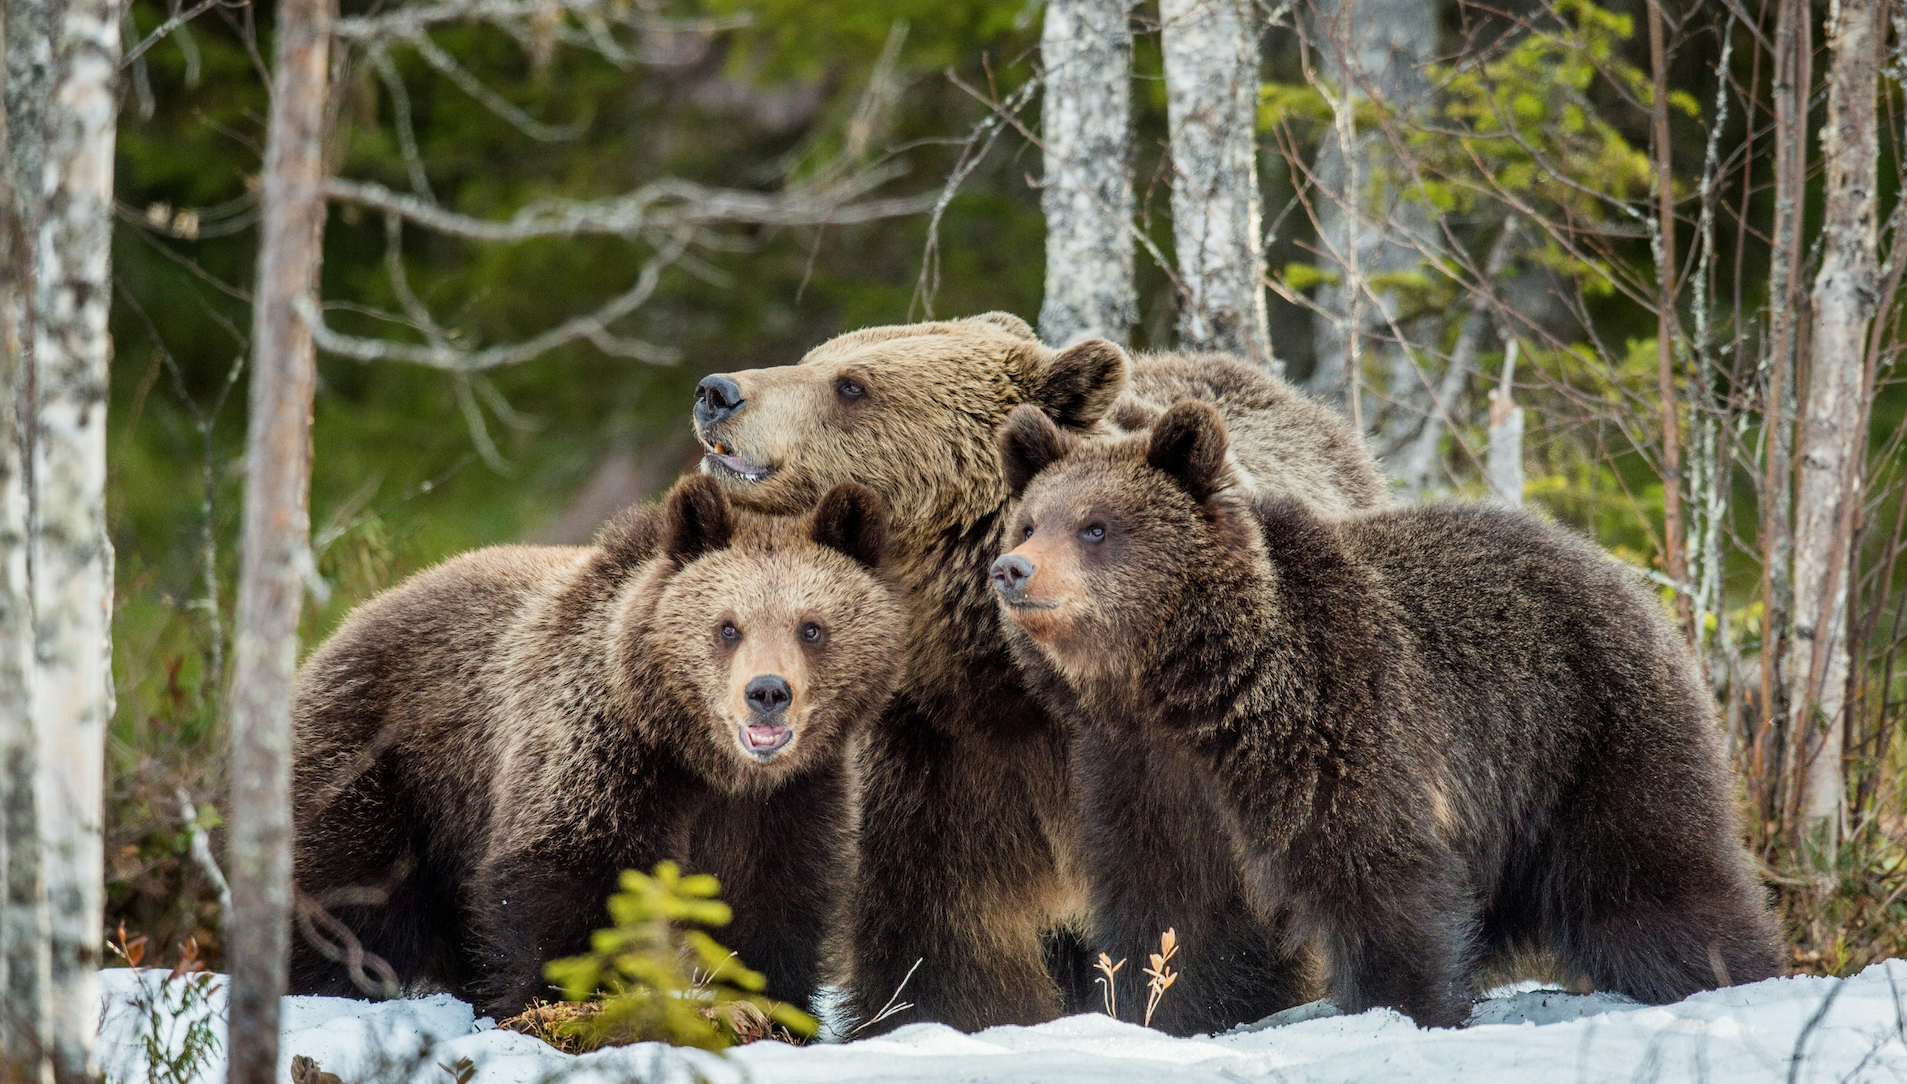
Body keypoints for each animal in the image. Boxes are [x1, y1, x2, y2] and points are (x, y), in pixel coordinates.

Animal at [288, 474, 901, 1019]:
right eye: (728, 627)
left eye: (811, 627)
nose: (767, 693)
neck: (704, 760)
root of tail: (342, 628)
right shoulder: (601, 752)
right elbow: (567, 881)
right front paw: (568, 997)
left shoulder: (789, 798)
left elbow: (773, 901)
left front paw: (768, 1004)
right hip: (380, 768)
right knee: (342, 898)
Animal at [688, 312, 1386, 1032]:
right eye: (816, 357)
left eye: (852, 385)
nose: (717, 391)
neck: (1003, 677)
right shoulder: (946, 757)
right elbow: (947, 932)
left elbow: (1205, 912)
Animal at [990, 399, 1784, 1029]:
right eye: (1029, 522)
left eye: (1095, 527)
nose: (1012, 569)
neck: (1190, 694)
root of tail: (1620, 573)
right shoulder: (1140, 773)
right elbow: (1170, 909)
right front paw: (1159, 1012)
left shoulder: (1337, 725)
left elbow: (1378, 878)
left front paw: (1400, 1007)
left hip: (1589, 740)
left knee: (1653, 880)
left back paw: (1730, 974)